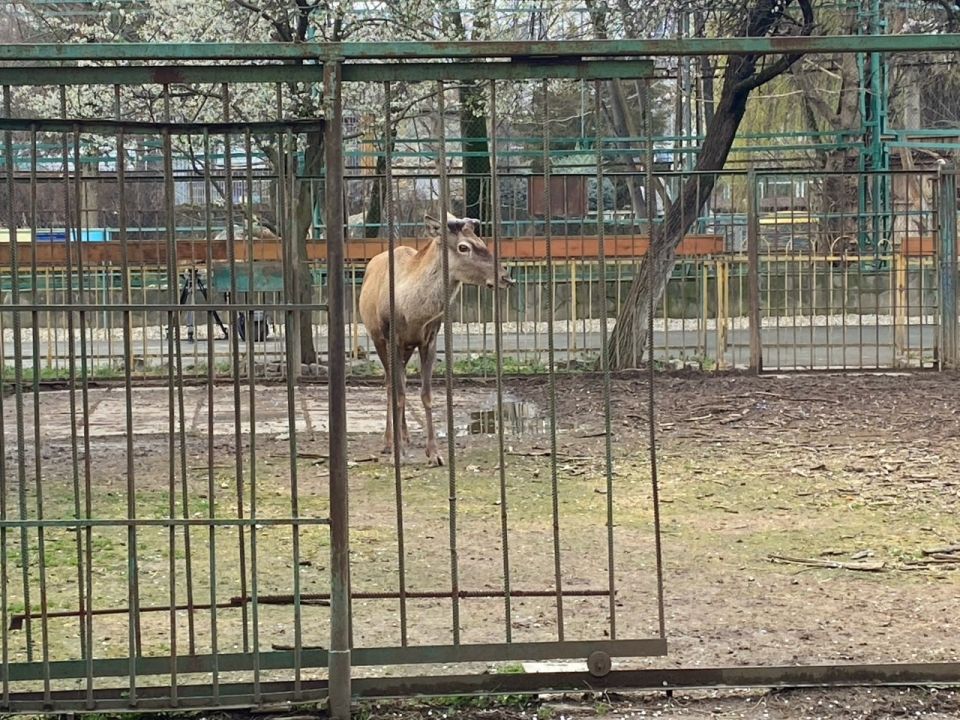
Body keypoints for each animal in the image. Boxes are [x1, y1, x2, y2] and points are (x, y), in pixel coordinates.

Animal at [358, 212, 514, 466]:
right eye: (463, 246)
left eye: (481, 241)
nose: (505, 276)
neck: (412, 313)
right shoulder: (392, 338)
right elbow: (399, 393)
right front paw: (398, 453)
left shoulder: (429, 340)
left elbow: (426, 395)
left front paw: (434, 453)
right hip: (378, 338)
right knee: (390, 384)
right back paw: (390, 442)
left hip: (406, 349)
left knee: (400, 381)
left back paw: (405, 435)